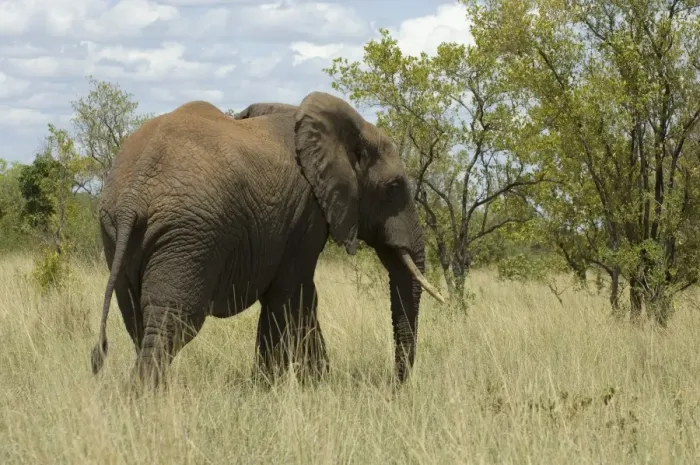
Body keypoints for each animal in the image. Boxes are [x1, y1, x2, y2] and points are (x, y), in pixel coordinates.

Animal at [90, 91, 445, 389]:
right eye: (393, 188)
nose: (396, 387)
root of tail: (134, 193)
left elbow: (285, 298)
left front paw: (271, 387)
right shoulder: (305, 213)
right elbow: (295, 296)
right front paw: (306, 387)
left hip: (117, 232)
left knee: (138, 319)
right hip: (187, 234)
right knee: (172, 321)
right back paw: (148, 398)